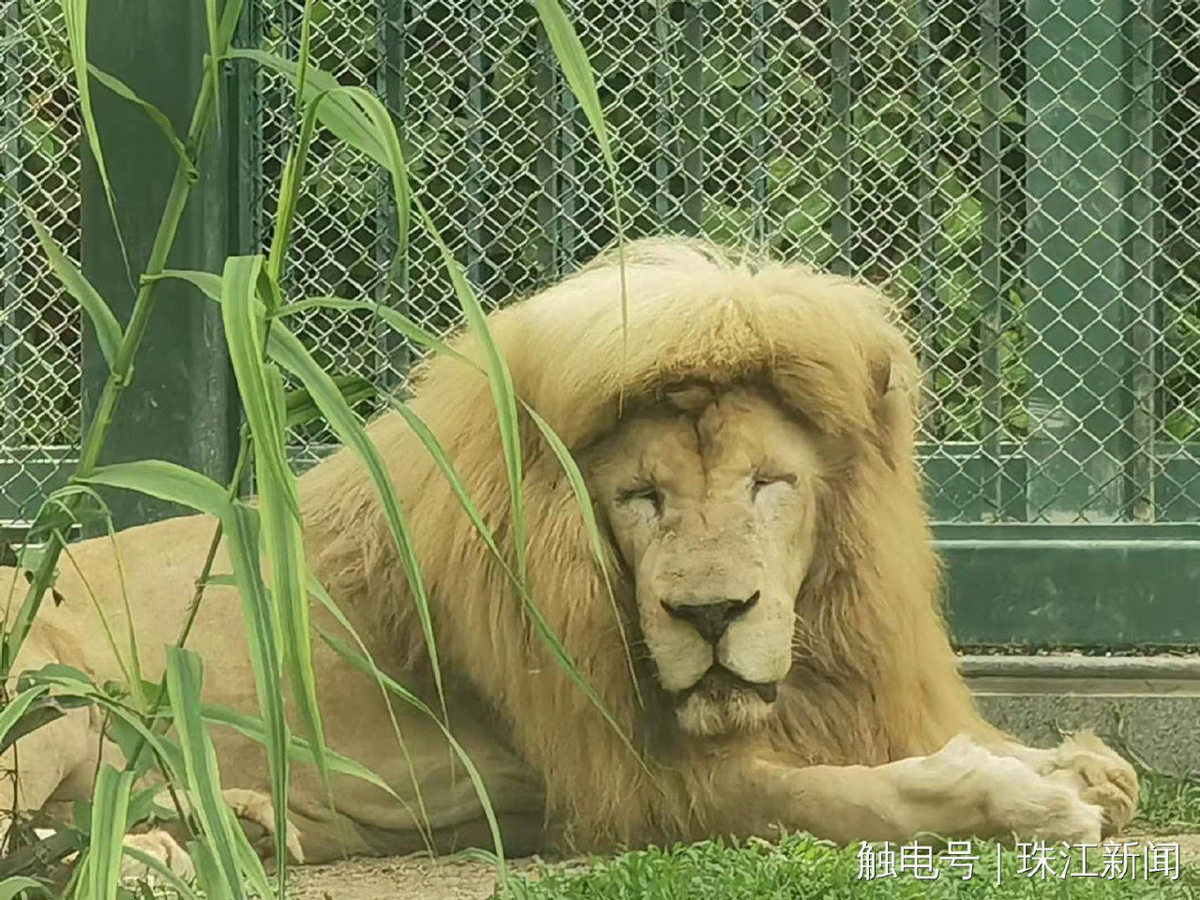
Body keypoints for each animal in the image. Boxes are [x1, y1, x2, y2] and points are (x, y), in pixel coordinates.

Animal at [0, 236, 1137, 878]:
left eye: (770, 484)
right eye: (640, 499)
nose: (710, 616)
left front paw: (1070, 762)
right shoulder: (634, 790)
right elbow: (838, 794)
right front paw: (1026, 802)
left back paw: (214, 822)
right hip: (53, 689)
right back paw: (160, 849)